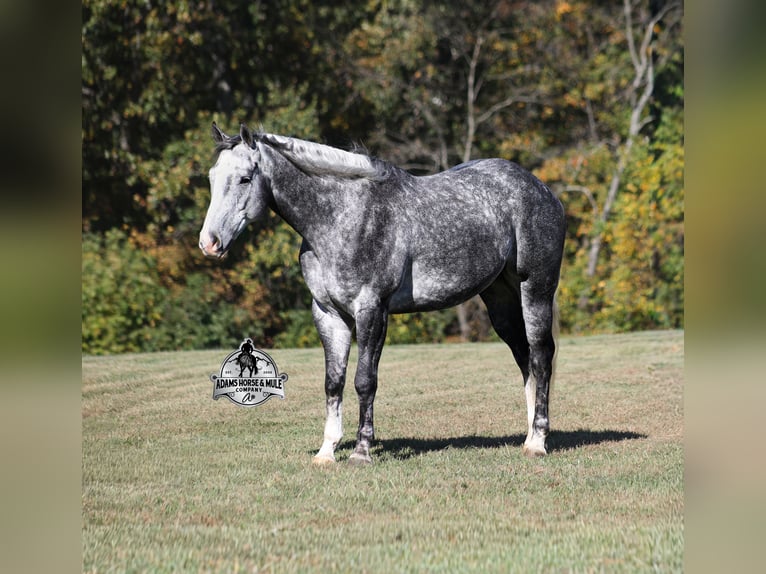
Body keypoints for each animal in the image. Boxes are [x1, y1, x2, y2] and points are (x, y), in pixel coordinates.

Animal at [199, 123, 565, 464]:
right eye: (212, 177)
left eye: (245, 178)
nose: (209, 243)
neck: (342, 218)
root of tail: (544, 191)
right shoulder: (329, 314)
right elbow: (333, 382)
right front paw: (326, 451)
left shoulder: (372, 310)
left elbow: (365, 380)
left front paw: (361, 451)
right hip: (500, 299)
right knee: (524, 357)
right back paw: (529, 436)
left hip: (535, 288)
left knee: (541, 355)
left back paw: (538, 441)